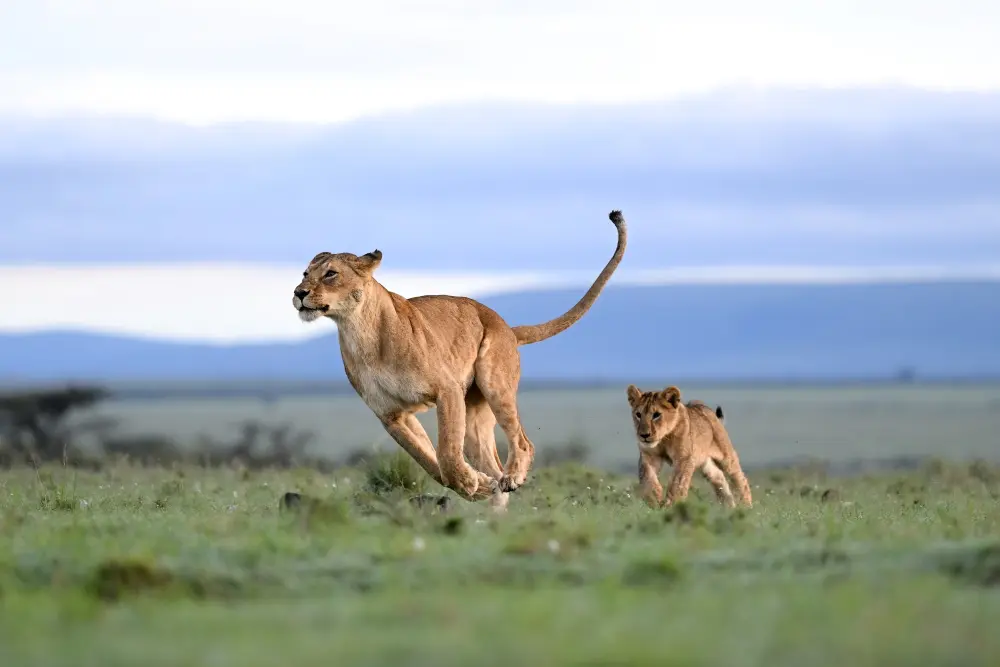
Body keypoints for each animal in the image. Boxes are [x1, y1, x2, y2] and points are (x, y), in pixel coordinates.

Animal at [292, 210, 628, 507]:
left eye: (331, 274)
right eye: (305, 274)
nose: (298, 292)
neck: (359, 334)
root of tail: (506, 326)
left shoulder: (447, 390)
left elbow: (447, 452)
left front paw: (469, 483)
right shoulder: (391, 414)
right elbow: (429, 461)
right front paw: (477, 486)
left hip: (495, 385)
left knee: (523, 442)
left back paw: (512, 478)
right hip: (475, 414)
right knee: (492, 464)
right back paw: (495, 507)